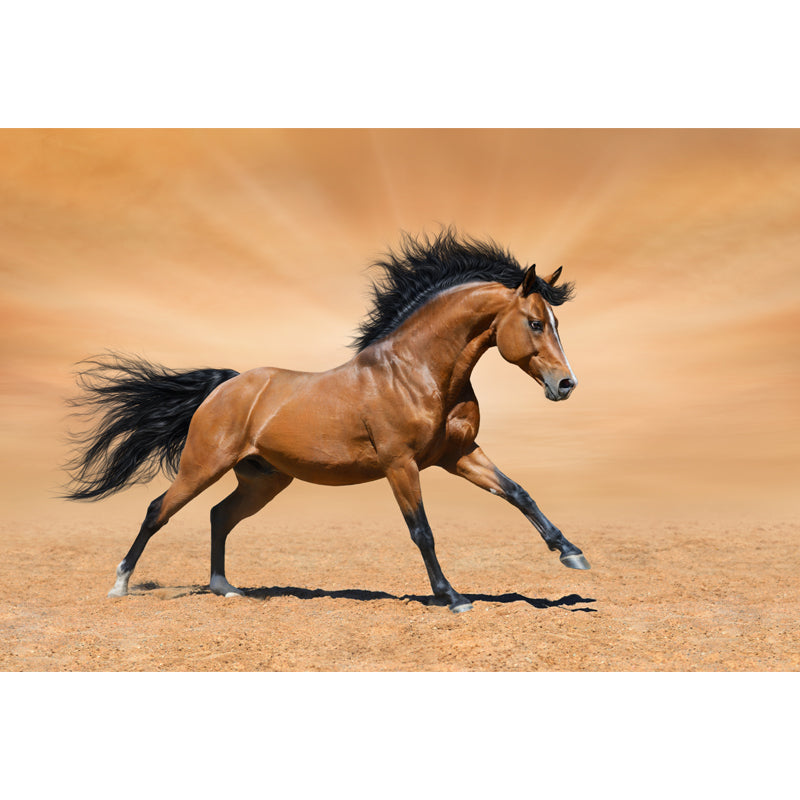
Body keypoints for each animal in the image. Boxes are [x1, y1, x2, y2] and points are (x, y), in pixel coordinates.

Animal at [65, 230, 589, 613]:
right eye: (536, 323)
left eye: (556, 323)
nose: (566, 384)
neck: (418, 372)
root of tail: (225, 386)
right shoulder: (401, 464)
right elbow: (422, 530)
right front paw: (453, 597)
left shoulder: (459, 455)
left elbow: (519, 493)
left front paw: (571, 553)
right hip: (202, 465)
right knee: (159, 510)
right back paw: (120, 585)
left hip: (263, 480)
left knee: (219, 515)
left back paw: (225, 587)